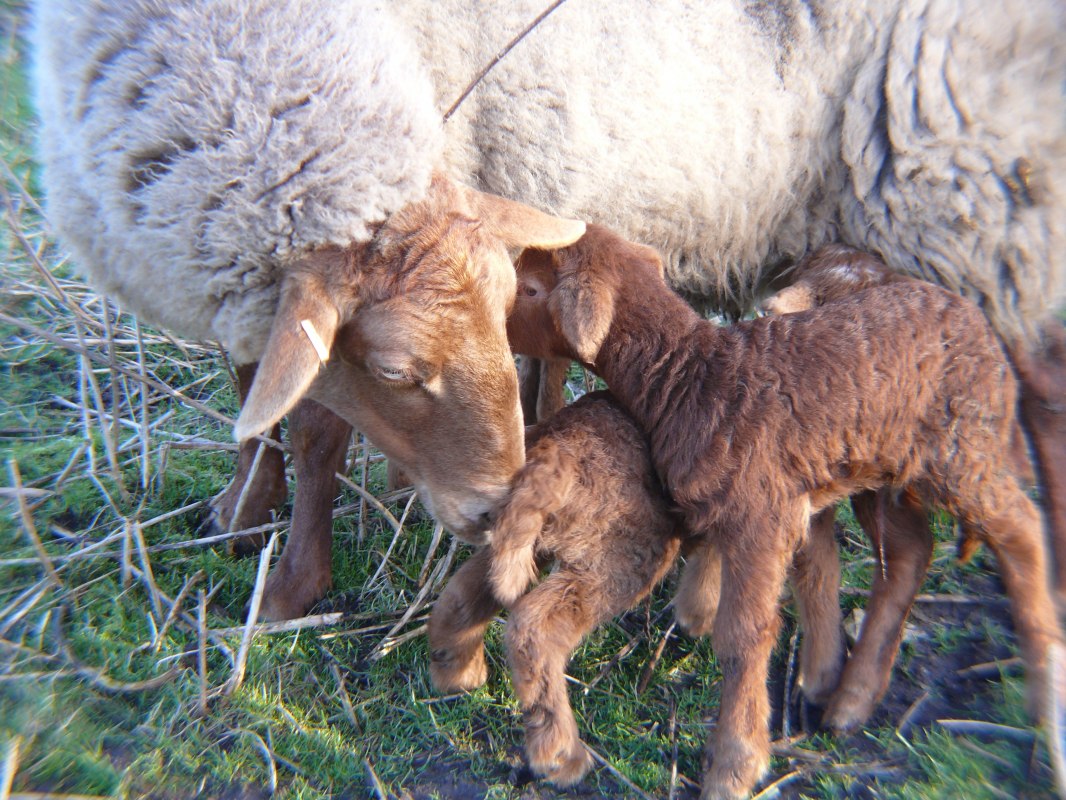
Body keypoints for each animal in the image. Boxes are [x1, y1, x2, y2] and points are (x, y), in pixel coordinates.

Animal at [31, 0, 587, 617]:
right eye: (393, 370)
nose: (495, 512)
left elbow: (315, 436)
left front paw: (290, 587)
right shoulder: (249, 289)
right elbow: (253, 386)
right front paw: (244, 509)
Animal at [197, 0, 1066, 620]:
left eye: (397, 369)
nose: (490, 506)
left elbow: (314, 424)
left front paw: (288, 589)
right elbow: (252, 392)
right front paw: (240, 514)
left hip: (968, 206)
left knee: (1044, 397)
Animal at [427, 390, 683, 786]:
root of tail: (556, 445)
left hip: (524, 538)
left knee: (464, 594)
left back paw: (456, 672)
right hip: (618, 557)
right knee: (535, 628)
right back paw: (561, 756)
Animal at [506, 224, 1061, 800]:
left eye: (530, 288)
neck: (691, 375)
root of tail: (977, 319)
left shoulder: (762, 515)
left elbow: (745, 635)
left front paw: (735, 764)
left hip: (961, 445)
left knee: (1022, 530)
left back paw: (1043, 685)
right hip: (884, 464)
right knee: (910, 550)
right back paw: (850, 699)